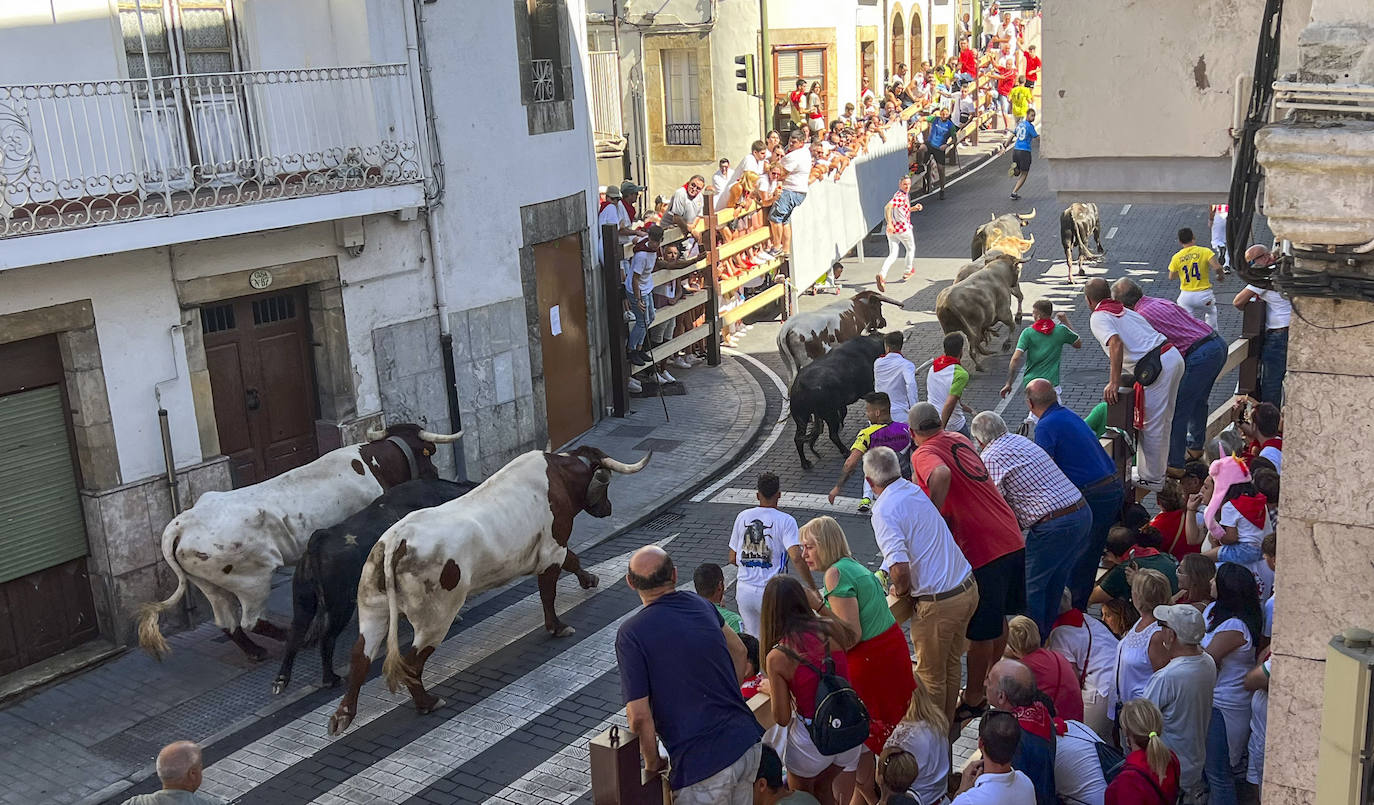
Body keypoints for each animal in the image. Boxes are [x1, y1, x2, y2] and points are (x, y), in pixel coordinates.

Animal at [138, 420, 461, 659]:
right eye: (428, 453)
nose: (436, 474)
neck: (372, 464)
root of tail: (182, 522)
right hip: (252, 580)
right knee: (251, 620)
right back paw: (296, 638)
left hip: (210, 585)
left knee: (228, 623)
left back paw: (257, 652)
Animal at [332, 445, 654, 730]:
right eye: (604, 487)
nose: (608, 508)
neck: (558, 474)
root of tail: (397, 540)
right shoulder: (552, 549)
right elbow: (550, 588)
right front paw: (557, 626)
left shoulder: (552, 550)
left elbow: (572, 561)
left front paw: (590, 580)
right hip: (435, 617)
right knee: (410, 663)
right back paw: (427, 702)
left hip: (373, 609)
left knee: (360, 657)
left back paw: (343, 715)